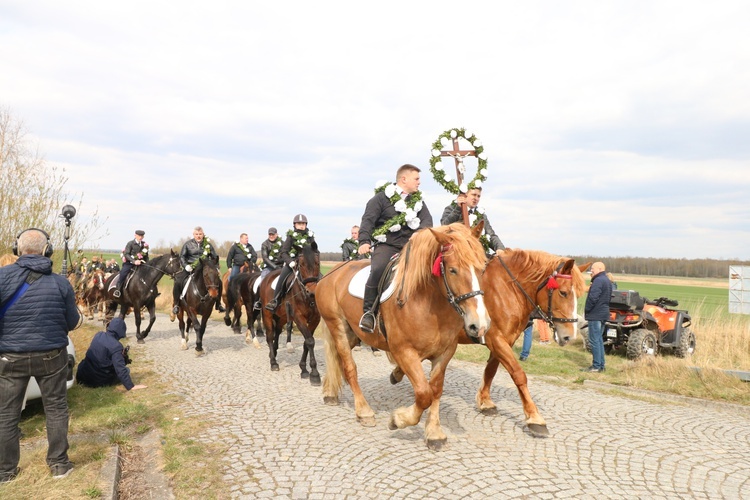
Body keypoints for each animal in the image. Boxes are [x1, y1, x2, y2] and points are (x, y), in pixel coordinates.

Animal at [258, 242, 320, 382]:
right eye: (301, 265)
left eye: (317, 263)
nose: (312, 292)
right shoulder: (298, 317)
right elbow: (310, 341)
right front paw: (314, 373)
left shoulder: (315, 319)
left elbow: (307, 342)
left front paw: (304, 369)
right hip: (267, 314)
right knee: (270, 336)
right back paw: (273, 362)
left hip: (281, 317)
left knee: (277, 332)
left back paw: (274, 353)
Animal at [318, 223, 490, 450]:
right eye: (453, 270)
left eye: (482, 268)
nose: (479, 325)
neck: (429, 302)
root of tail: (330, 275)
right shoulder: (404, 351)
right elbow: (424, 394)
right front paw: (399, 419)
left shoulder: (445, 353)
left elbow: (435, 390)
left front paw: (434, 432)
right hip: (338, 327)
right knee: (349, 368)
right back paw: (363, 411)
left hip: (353, 334)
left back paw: (331, 392)